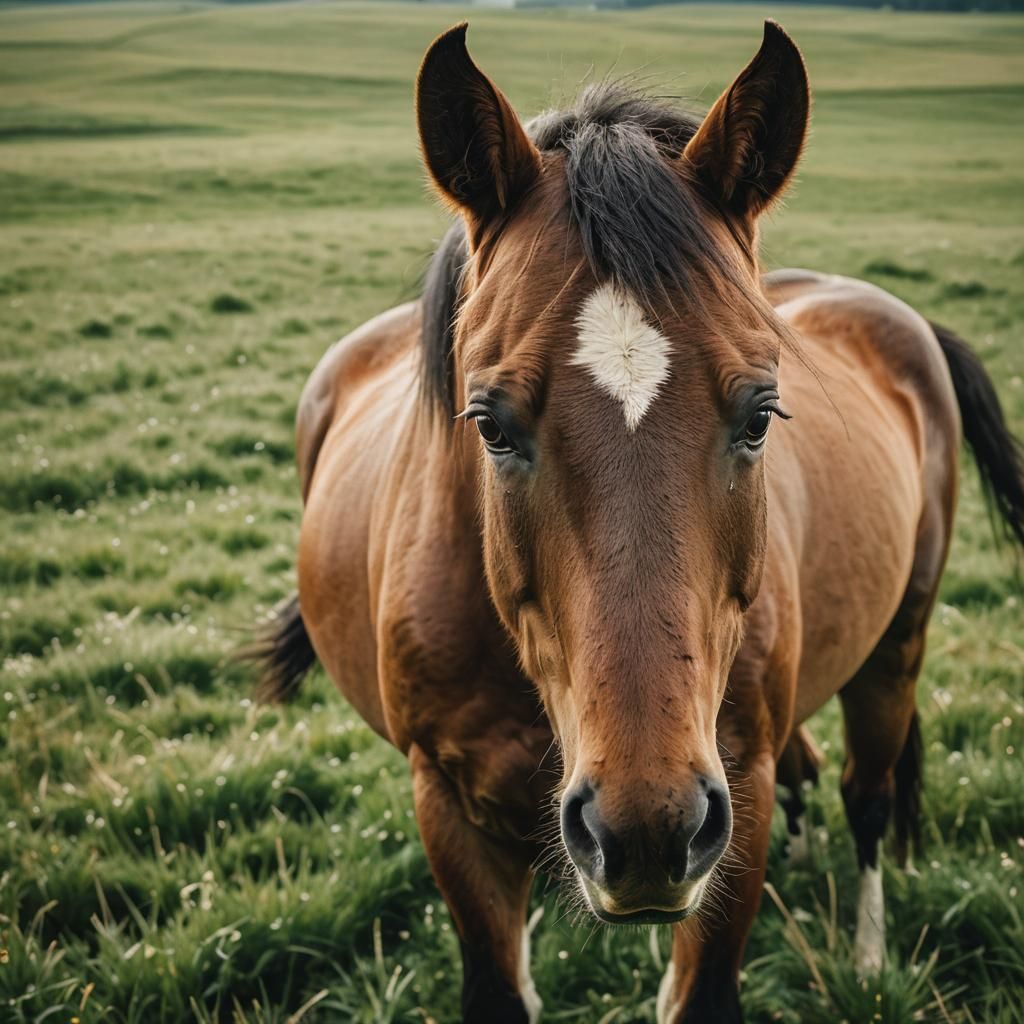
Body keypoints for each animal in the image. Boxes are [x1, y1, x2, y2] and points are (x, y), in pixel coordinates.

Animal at [252, 21, 1024, 1023]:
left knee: (867, 795)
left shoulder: (735, 797)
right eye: (490, 423)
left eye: (761, 416)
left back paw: (864, 957)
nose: (647, 830)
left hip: (896, 646)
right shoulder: (448, 809)